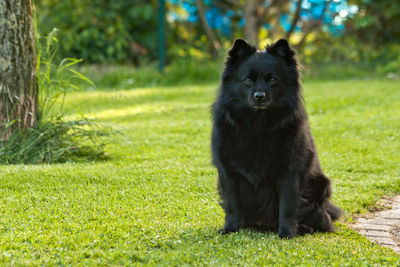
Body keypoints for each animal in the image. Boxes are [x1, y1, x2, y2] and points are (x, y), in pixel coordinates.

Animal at [211, 37, 342, 239]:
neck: (257, 125)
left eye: (272, 79)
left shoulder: (289, 172)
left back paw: (304, 228)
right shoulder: (227, 173)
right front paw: (230, 229)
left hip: (321, 186)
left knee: (321, 220)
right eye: (247, 80)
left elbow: (287, 206)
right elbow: (232, 205)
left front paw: (287, 233)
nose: (259, 96)